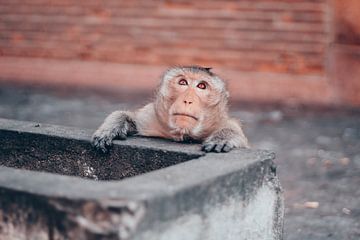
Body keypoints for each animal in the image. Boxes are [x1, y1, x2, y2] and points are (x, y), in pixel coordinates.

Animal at [91, 65, 249, 152]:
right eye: (183, 82)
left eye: (202, 86)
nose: (188, 100)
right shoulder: (149, 118)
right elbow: (133, 120)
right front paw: (111, 128)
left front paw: (223, 137)